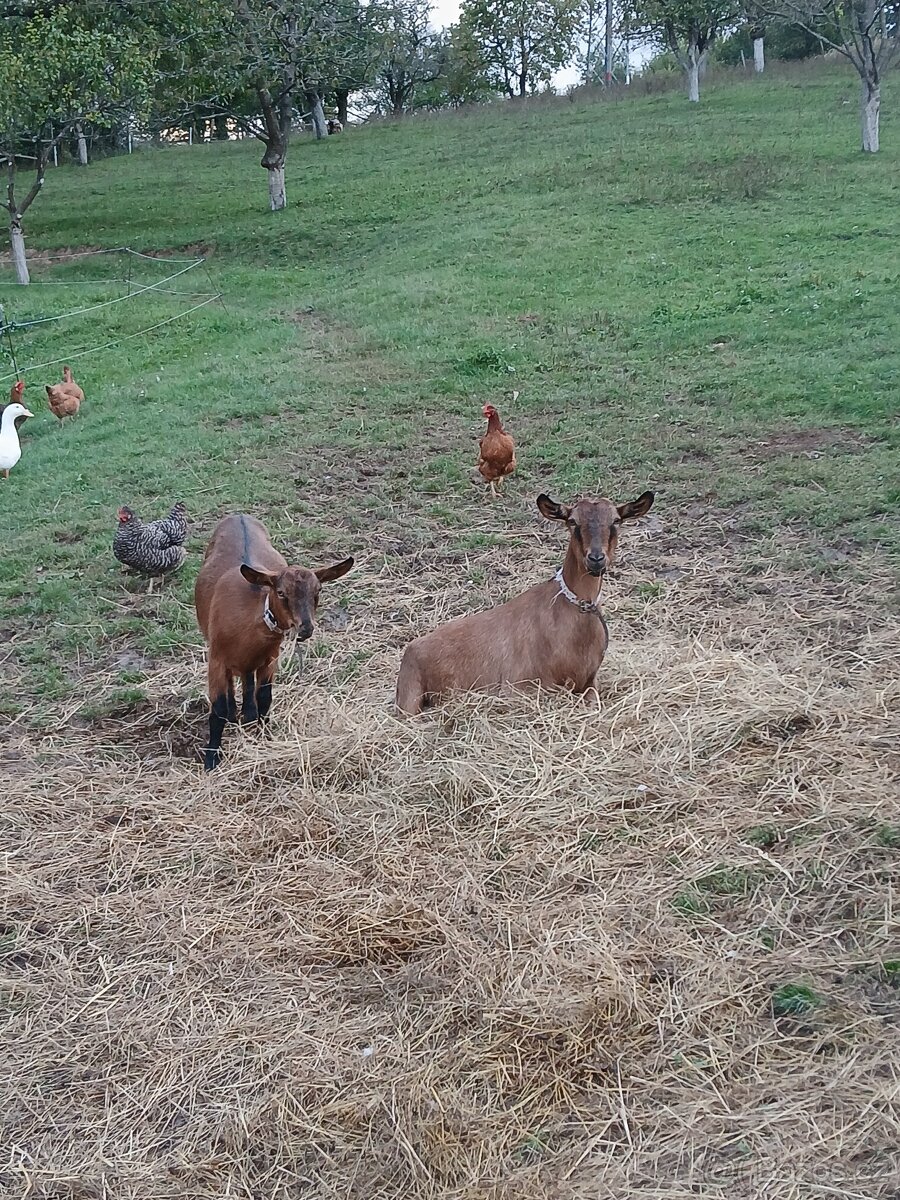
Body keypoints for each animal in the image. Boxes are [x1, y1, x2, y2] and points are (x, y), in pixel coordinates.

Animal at [195, 513, 355, 772]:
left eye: (318, 591)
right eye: (281, 592)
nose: (305, 627)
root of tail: (239, 514)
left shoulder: (270, 658)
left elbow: (264, 698)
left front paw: (262, 733)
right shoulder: (216, 658)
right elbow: (217, 709)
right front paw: (211, 758)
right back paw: (235, 714)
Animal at [396, 487, 657, 710]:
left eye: (616, 520)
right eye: (572, 521)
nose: (596, 559)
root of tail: (411, 650)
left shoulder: (590, 681)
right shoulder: (519, 686)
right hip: (410, 696)